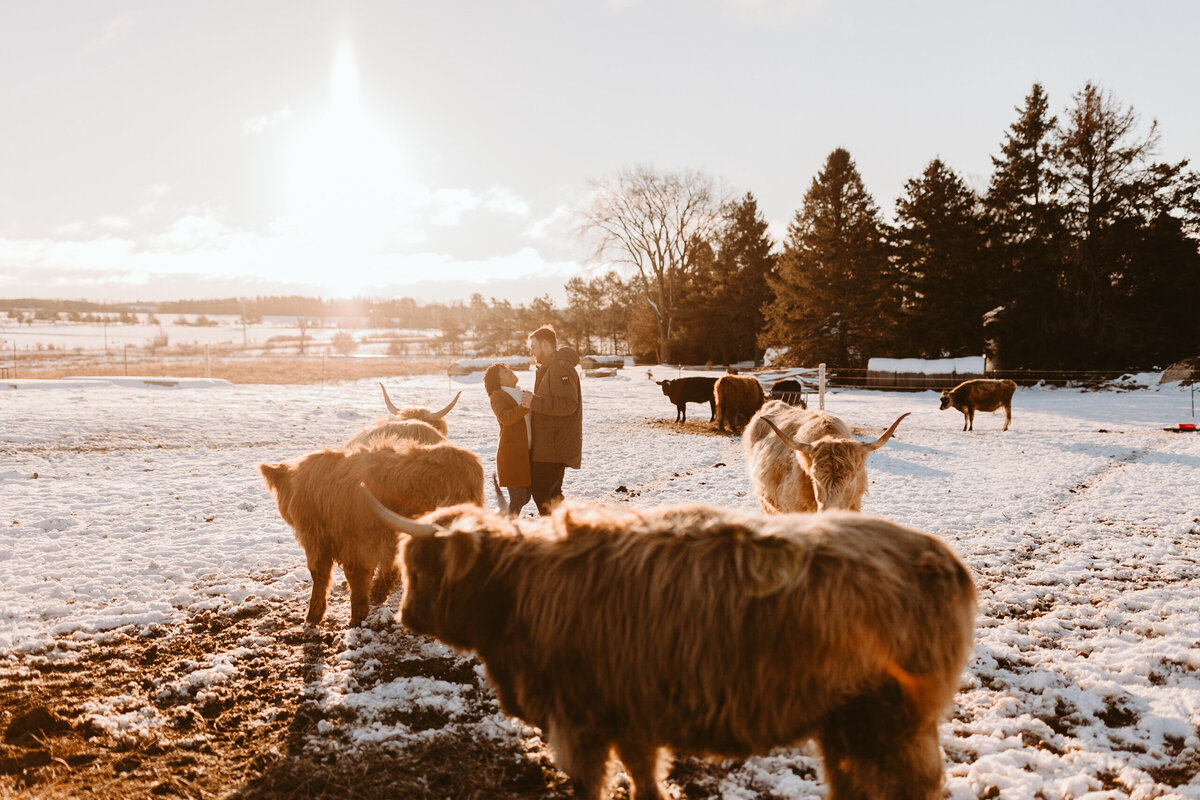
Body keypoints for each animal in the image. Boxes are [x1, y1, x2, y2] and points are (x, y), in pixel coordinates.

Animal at [362, 494, 974, 800]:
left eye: (419, 566)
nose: (406, 616)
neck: (518, 594)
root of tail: (940, 559)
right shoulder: (630, 713)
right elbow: (644, 776)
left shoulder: (579, 717)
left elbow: (591, 783)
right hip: (850, 726)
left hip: (889, 723)